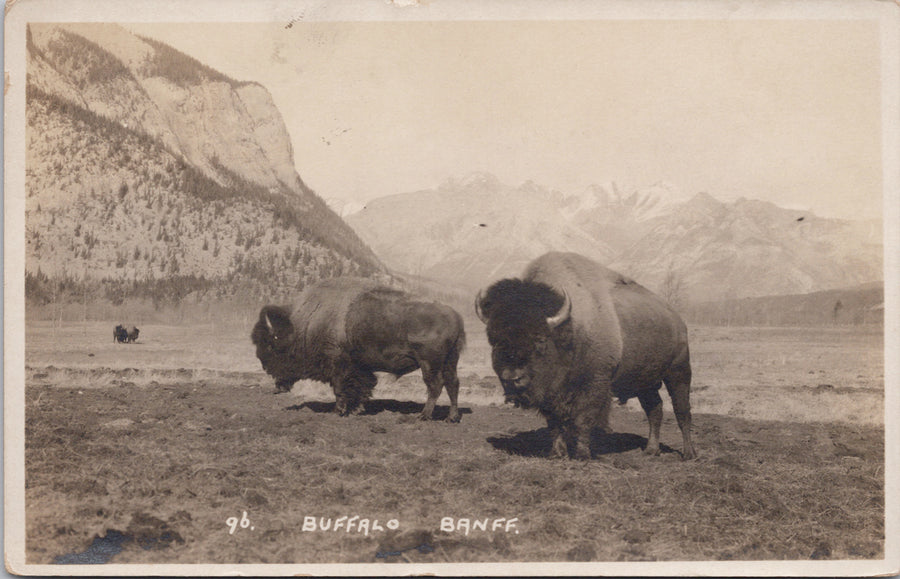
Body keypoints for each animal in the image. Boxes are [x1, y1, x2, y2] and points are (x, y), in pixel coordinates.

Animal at [251, 276, 468, 422]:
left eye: (270, 343)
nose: (264, 367)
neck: (305, 322)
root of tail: (456, 316)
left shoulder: (339, 364)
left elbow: (340, 388)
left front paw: (339, 411)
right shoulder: (359, 367)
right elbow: (363, 386)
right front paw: (356, 409)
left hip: (429, 362)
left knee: (435, 385)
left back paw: (424, 416)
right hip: (450, 360)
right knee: (453, 383)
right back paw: (452, 418)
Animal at [478, 251, 696, 460]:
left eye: (540, 339)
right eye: (494, 340)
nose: (511, 378)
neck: (572, 329)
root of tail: (677, 320)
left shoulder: (594, 385)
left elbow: (583, 420)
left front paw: (582, 455)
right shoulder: (551, 395)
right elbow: (554, 423)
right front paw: (557, 454)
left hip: (678, 372)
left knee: (682, 410)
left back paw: (689, 454)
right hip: (645, 383)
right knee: (655, 410)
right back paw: (651, 450)